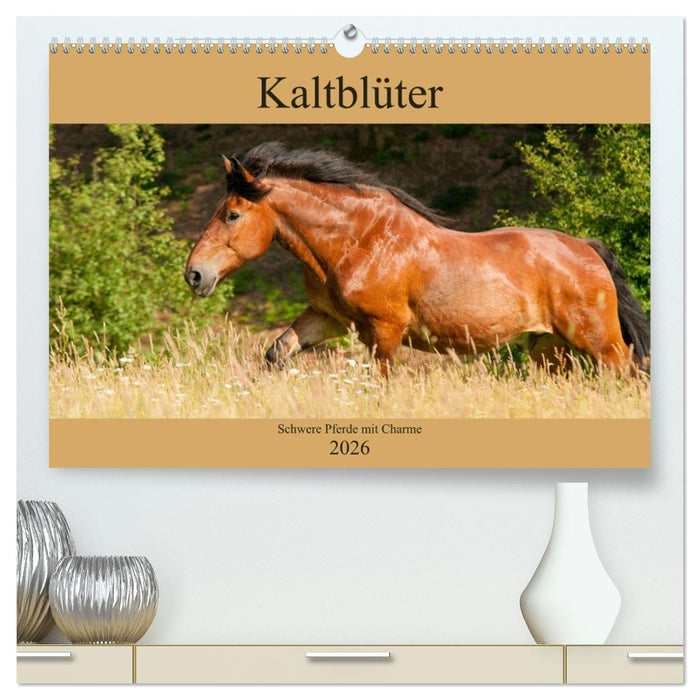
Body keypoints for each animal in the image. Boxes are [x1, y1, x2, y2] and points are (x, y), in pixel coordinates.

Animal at [185, 142, 650, 375]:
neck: (358, 241)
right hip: (550, 348)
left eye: (232, 214)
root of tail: (586, 248)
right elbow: (277, 353)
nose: (194, 275)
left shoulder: (384, 331)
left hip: (599, 343)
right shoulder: (327, 319)